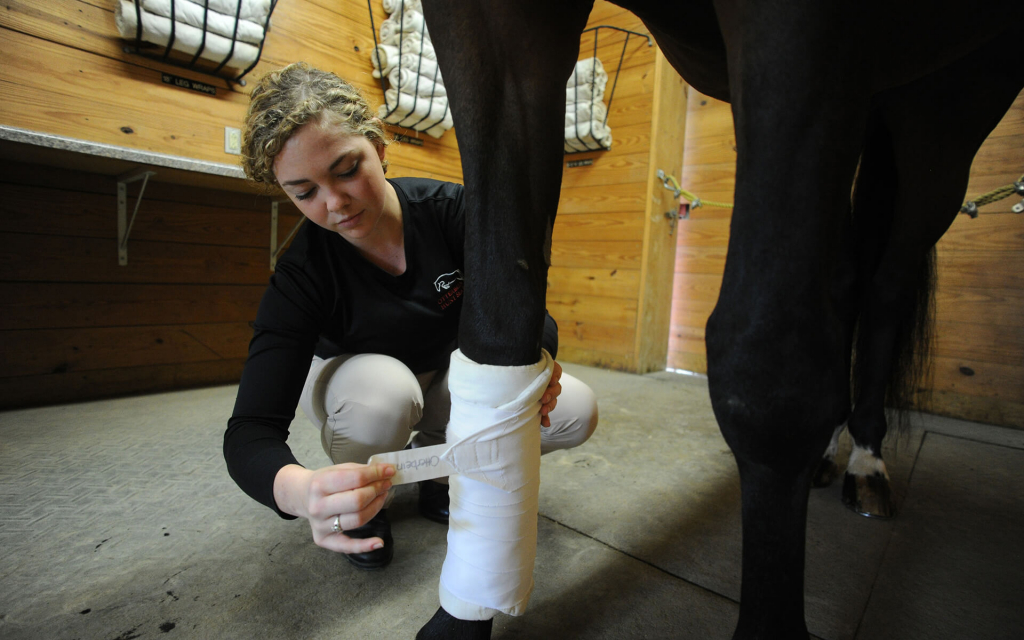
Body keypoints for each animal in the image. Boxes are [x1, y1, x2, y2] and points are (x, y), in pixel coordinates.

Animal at [411, 1, 1019, 638]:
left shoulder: (809, 29)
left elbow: (770, 383)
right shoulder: (492, 26)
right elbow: (499, 327)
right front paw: (462, 619)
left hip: (946, 104)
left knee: (888, 286)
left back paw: (868, 460)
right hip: (873, 99)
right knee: (850, 278)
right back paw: (833, 452)